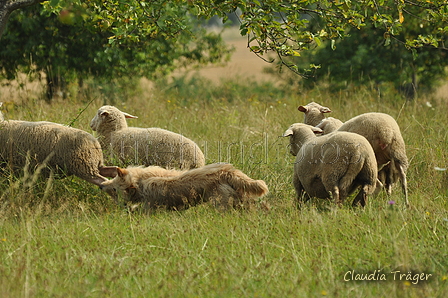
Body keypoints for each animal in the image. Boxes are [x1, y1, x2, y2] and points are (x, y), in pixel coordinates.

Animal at [100, 163, 270, 210]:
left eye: (114, 189)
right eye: (113, 179)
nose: (101, 186)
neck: (140, 181)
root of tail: (226, 170)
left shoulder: (150, 206)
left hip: (220, 203)